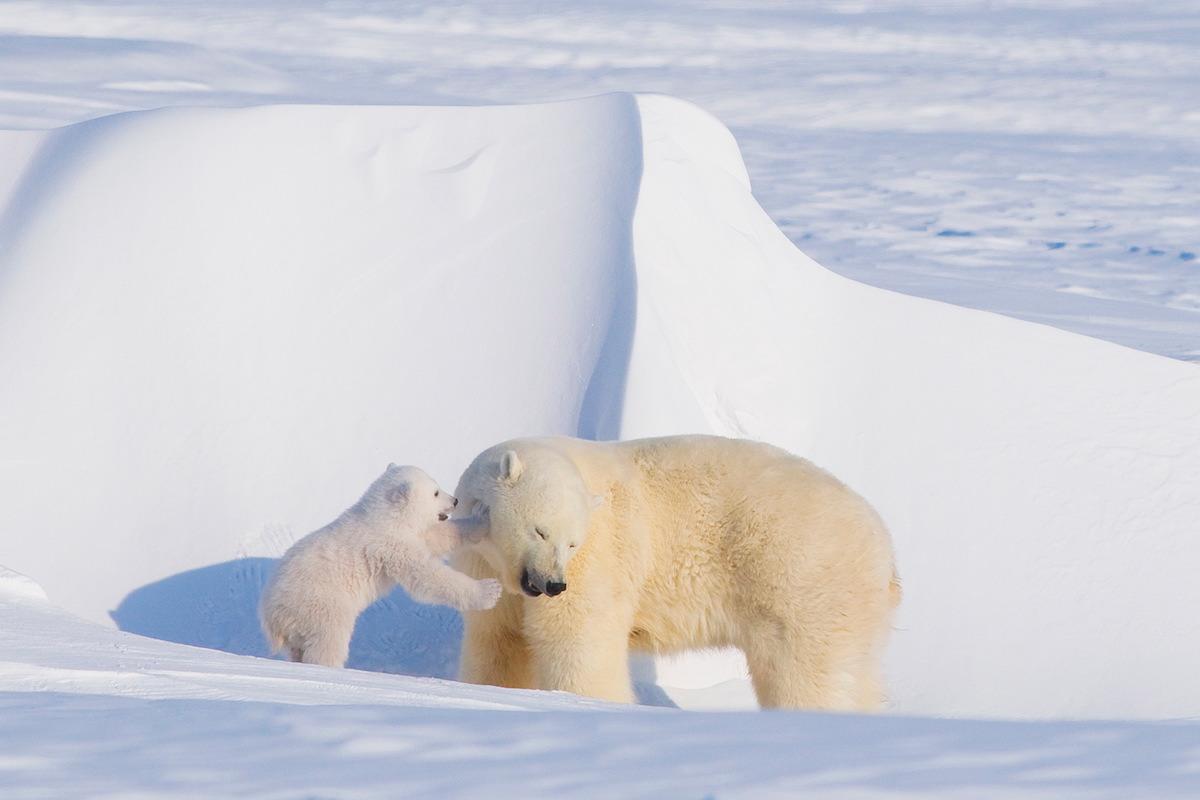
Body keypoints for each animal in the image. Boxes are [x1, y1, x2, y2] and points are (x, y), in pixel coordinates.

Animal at [451, 434, 902, 710]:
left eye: (573, 542)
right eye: (541, 530)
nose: (553, 584)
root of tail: (884, 547)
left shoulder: (603, 554)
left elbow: (577, 638)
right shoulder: (483, 566)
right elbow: (499, 641)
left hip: (802, 580)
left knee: (806, 671)